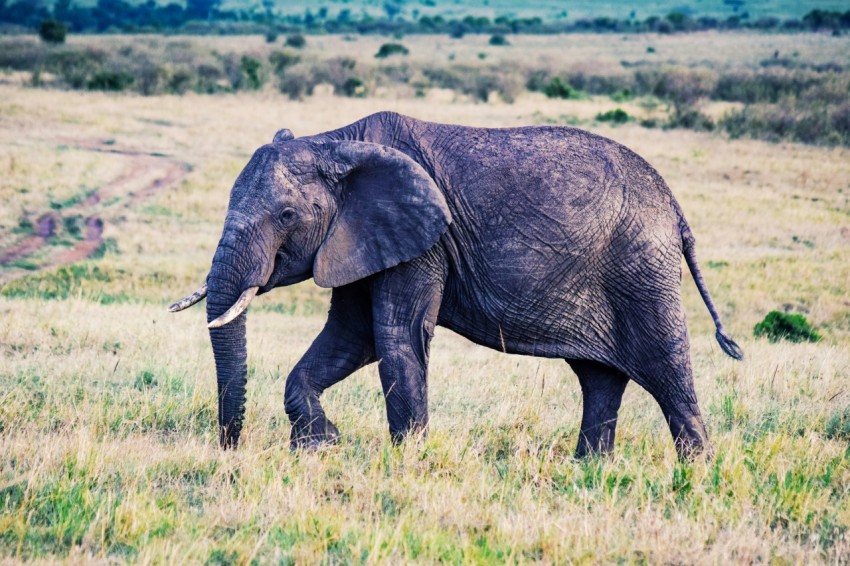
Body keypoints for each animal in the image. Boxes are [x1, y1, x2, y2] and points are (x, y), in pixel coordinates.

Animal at [169, 112, 740, 462]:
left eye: (286, 215)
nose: (232, 448)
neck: (336, 141)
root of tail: (675, 209)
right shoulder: (364, 236)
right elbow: (352, 338)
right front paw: (321, 446)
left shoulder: (421, 239)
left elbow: (395, 337)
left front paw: (406, 460)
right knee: (599, 377)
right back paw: (590, 469)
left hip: (641, 269)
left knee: (666, 367)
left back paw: (695, 471)